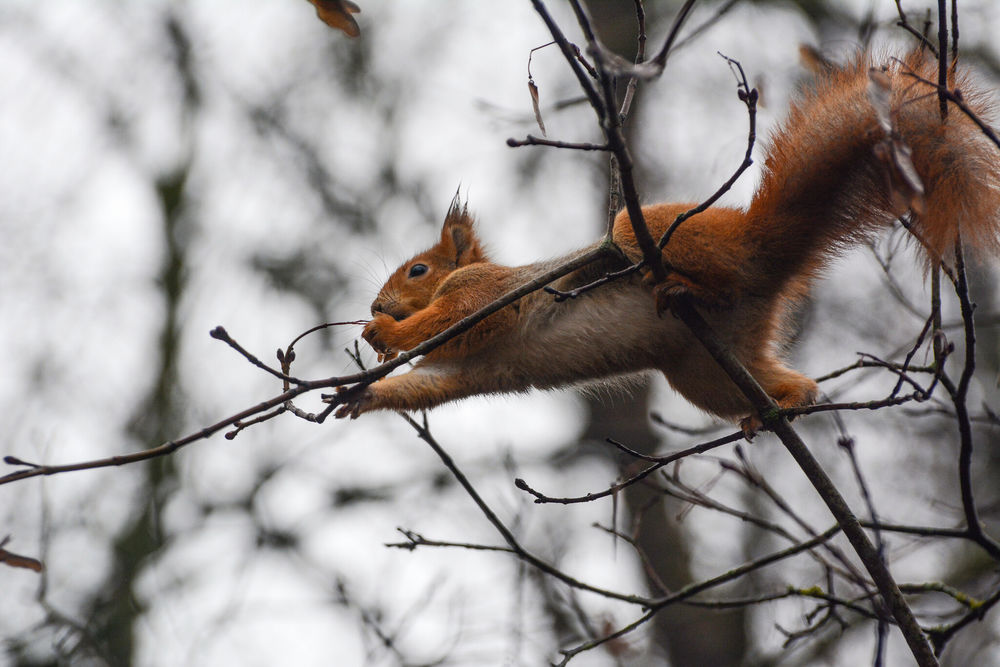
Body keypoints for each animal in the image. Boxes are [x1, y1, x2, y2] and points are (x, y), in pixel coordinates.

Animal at [334, 52, 1000, 428]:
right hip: (707, 374)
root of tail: (765, 244)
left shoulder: (491, 292)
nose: (374, 304)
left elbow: (463, 316)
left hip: (643, 232)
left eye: (419, 271)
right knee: (785, 382)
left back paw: (681, 285)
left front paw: (382, 332)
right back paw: (785, 405)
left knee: (687, 258)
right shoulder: (467, 370)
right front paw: (361, 395)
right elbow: (429, 386)